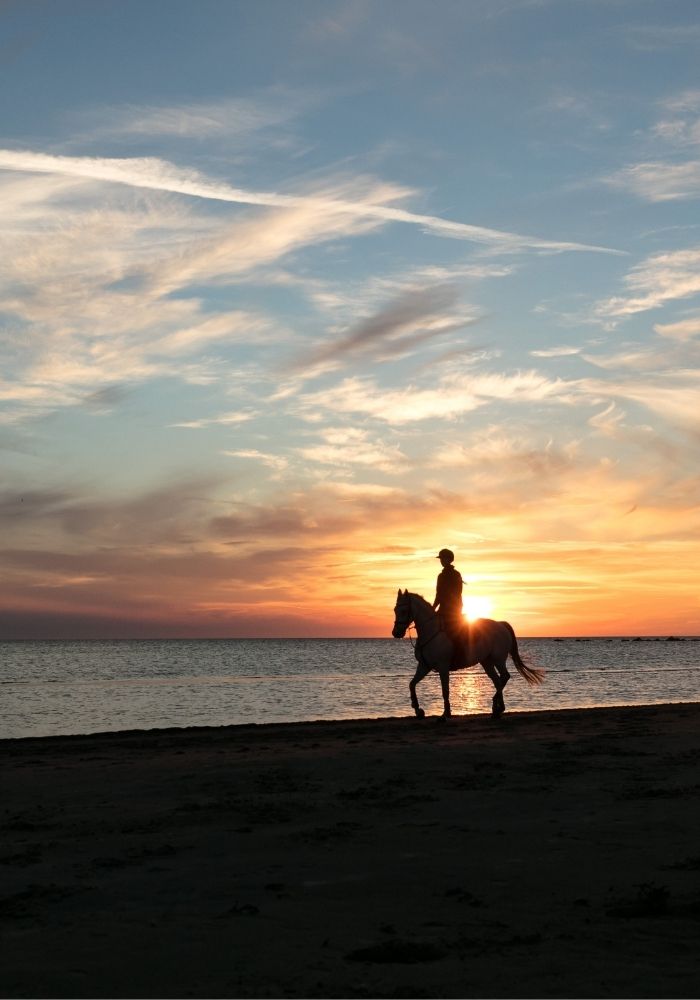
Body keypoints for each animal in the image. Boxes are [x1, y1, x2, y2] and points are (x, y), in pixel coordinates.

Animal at [392, 584, 544, 720]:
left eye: (404, 611)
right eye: (395, 610)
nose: (396, 633)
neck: (431, 632)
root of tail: (501, 624)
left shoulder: (443, 667)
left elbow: (445, 690)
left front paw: (445, 715)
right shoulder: (424, 666)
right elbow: (412, 684)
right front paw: (418, 710)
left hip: (498, 659)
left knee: (504, 677)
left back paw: (496, 705)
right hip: (487, 662)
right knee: (497, 680)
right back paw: (497, 710)